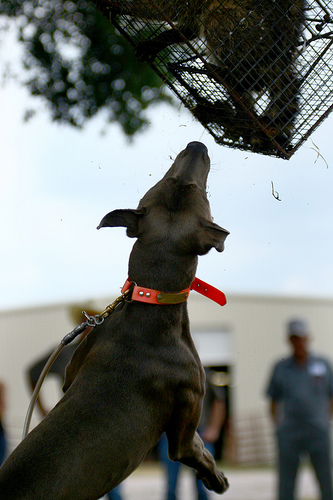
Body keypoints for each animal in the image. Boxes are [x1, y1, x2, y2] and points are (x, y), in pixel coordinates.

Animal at [0, 142, 228, 500]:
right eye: (194, 188)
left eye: (171, 181)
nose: (197, 145)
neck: (149, 300)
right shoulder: (186, 419)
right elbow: (198, 450)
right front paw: (216, 477)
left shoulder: (74, 364)